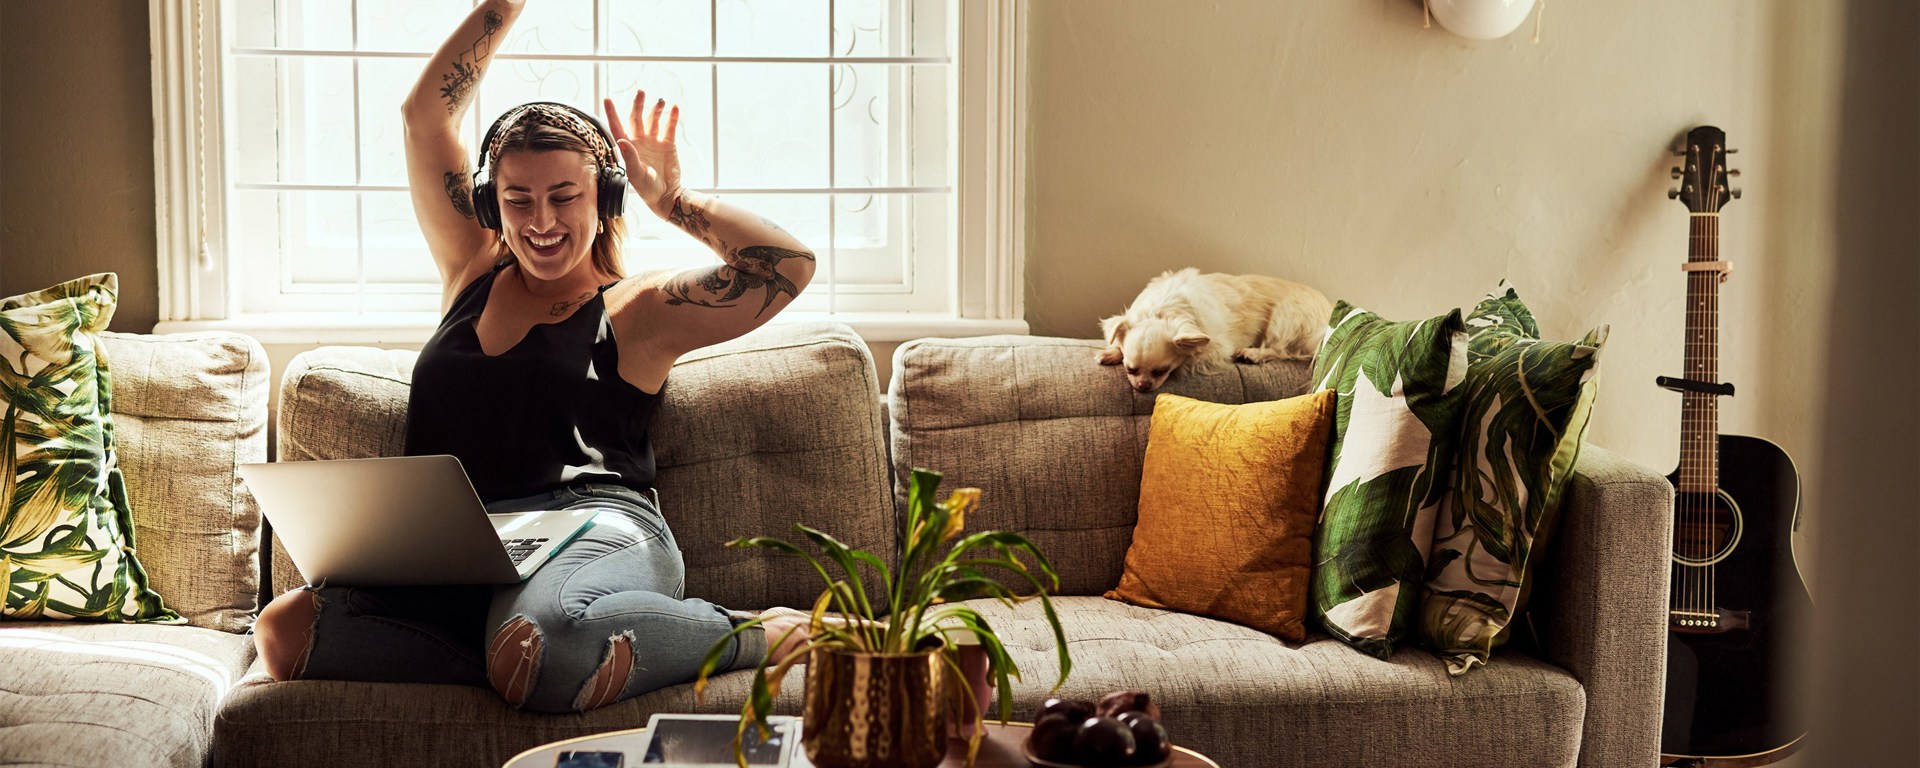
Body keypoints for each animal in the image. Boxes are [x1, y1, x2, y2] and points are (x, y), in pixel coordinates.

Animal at [1105, 268, 1328, 389]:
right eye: (1130, 369)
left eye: (1162, 371)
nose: (1143, 386)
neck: (1161, 310)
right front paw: (1111, 353)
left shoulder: (1216, 349)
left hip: (1283, 318)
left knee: (1282, 350)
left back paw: (1253, 354)